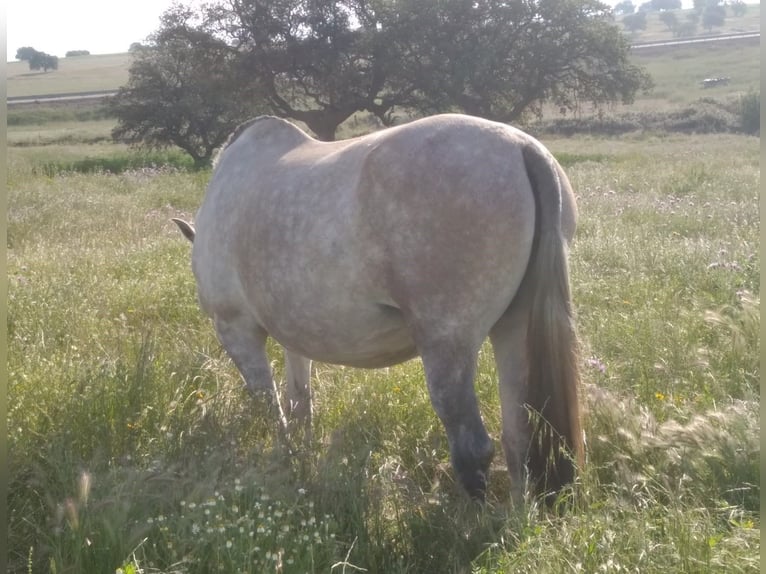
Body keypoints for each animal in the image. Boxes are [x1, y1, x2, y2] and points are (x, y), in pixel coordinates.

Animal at [172, 115, 584, 502]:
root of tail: (520, 146)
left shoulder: (236, 329)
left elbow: (271, 409)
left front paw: (283, 463)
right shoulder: (294, 338)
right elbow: (299, 402)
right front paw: (301, 460)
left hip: (447, 345)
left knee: (473, 447)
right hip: (513, 331)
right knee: (519, 439)